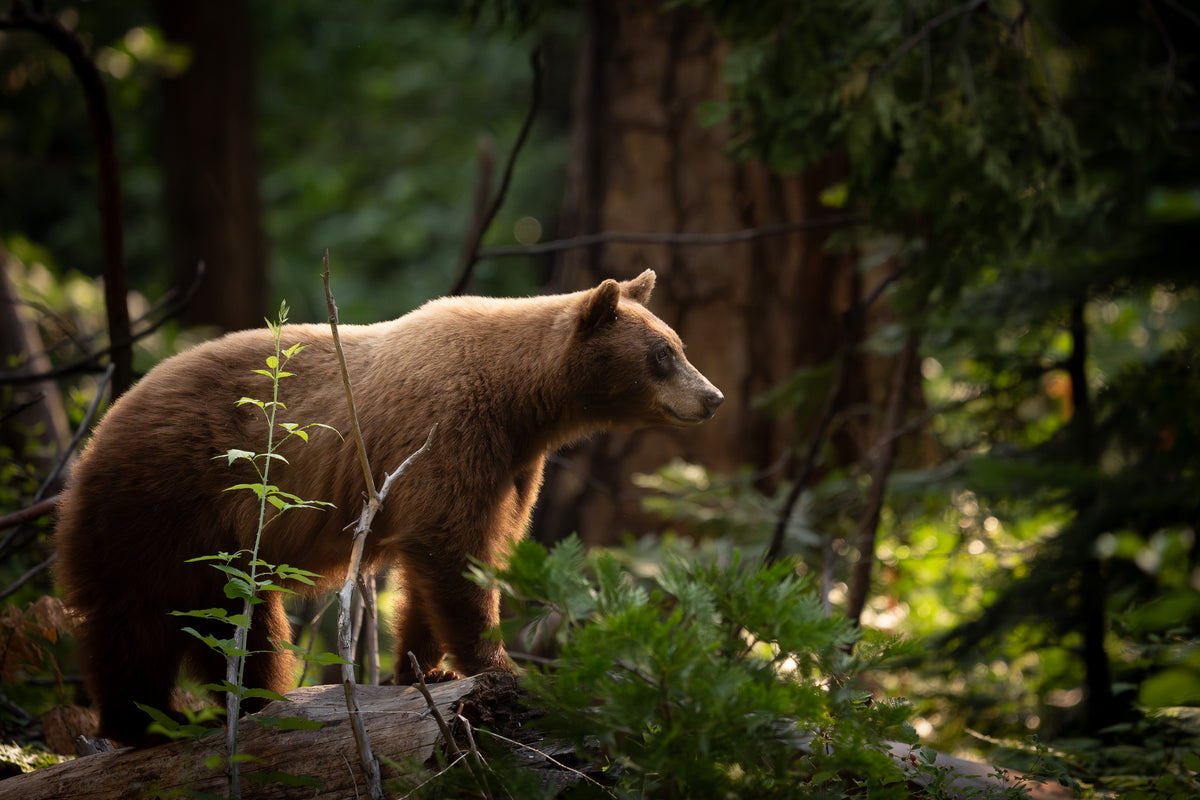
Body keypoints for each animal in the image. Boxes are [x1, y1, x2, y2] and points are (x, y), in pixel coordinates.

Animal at [54, 269, 723, 746]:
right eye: (661, 354)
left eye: (679, 344)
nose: (712, 396)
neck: (521, 400)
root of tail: (96, 436)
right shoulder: (448, 429)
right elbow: (450, 548)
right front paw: (502, 666)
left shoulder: (508, 466)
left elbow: (450, 555)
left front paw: (424, 669)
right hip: (166, 505)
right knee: (140, 618)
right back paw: (148, 721)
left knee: (234, 621)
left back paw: (249, 703)